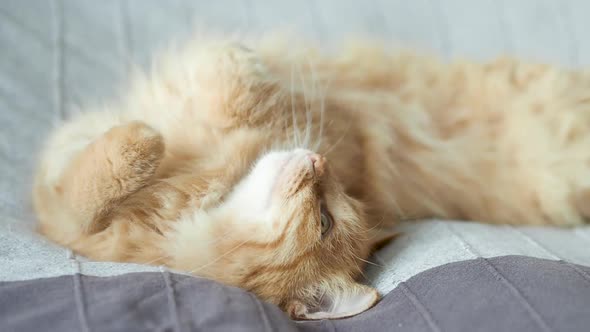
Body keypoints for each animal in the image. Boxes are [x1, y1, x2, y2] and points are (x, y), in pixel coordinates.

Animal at [32, 35, 590, 320]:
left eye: (325, 218)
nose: (320, 163)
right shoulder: (59, 201)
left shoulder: (68, 218)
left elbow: (106, 176)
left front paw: (150, 136)